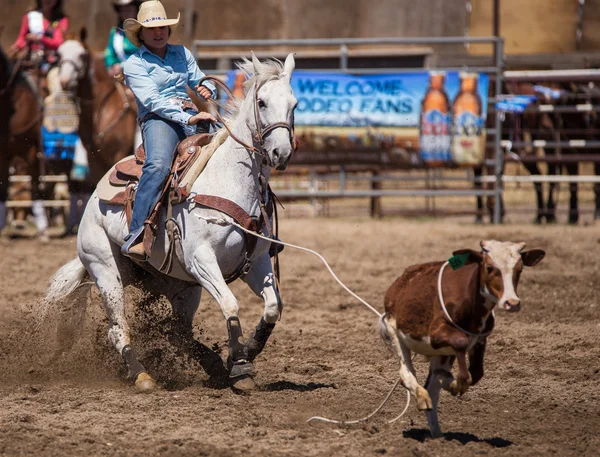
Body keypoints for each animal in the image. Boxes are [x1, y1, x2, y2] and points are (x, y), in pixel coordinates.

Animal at [45, 52, 298, 388]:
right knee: (119, 328)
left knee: (177, 333)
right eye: (262, 102)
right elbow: (230, 304)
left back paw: (213, 363)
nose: (281, 152)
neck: (229, 181)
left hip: (181, 286)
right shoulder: (202, 260)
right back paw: (141, 375)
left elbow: (273, 307)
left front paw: (249, 350)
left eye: (294, 104)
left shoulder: (256, 264)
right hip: (106, 269)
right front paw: (241, 365)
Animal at [380, 239, 544, 434]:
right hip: (395, 332)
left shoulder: (480, 339)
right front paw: (457, 383)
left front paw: (454, 382)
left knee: (434, 385)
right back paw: (423, 398)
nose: (512, 303)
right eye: (489, 267)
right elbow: (460, 344)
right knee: (407, 373)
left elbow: (477, 372)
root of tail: (398, 284)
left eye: (520, 269)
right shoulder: (436, 334)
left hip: (442, 355)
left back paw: (437, 433)